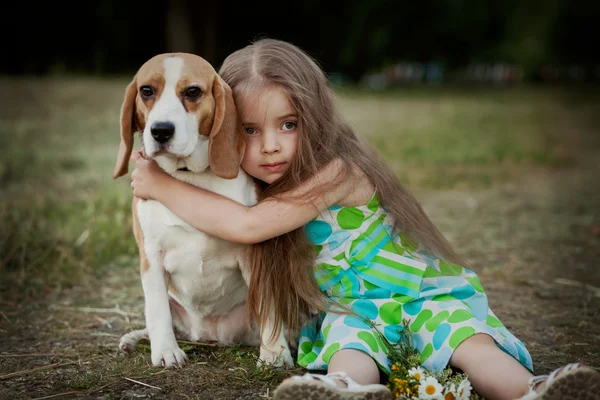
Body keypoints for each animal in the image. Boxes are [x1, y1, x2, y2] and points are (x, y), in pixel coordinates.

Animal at [112, 53, 292, 368]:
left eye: (193, 92)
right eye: (146, 91)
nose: (160, 130)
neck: (190, 180)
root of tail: (208, 335)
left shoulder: (254, 255)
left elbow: (268, 306)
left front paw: (275, 354)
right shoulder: (151, 257)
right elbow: (157, 311)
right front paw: (166, 351)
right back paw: (133, 339)